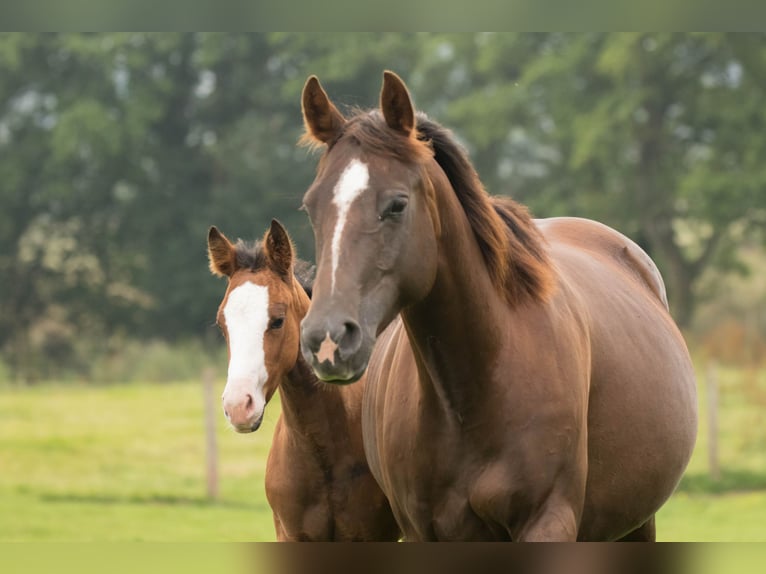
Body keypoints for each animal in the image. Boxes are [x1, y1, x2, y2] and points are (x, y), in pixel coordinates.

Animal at [300, 73, 704, 544]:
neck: (472, 389)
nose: (328, 339)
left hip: (637, 524)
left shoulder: (546, 521)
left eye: (397, 204)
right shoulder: (423, 532)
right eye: (311, 207)